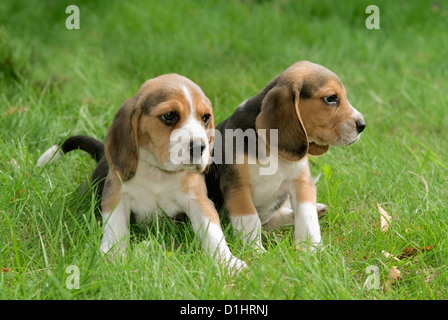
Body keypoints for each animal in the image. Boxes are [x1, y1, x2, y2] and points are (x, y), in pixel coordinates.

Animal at [37, 74, 245, 270]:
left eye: (205, 118)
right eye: (169, 115)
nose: (200, 147)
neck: (158, 171)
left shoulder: (198, 200)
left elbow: (213, 232)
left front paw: (229, 262)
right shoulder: (116, 195)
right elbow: (116, 227)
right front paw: (113, 255)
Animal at [208, 60, 366, 252]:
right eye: (331, 98)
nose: (362, 125)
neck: (273, 153)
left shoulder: (301, 182)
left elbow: (306, 217)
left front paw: (312, 249)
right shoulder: (238, 188)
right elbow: (250, 220)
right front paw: (256, 252)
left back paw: (318, 209)